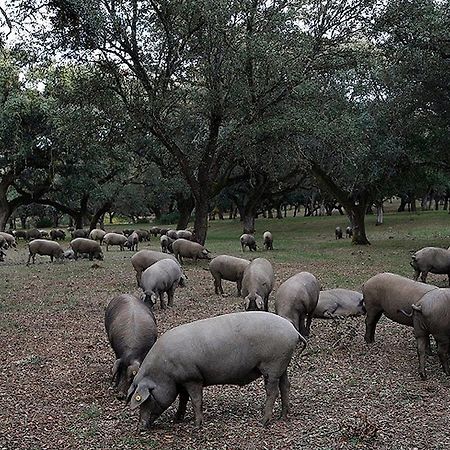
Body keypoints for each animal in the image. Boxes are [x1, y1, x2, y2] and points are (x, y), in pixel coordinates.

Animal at [128, 312, 308, 430]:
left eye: (146, 400)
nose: (139, 428)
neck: (164, 372)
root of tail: (294, 331)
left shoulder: (193, 378)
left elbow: (196, 400)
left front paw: (197, 426)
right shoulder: (182, 381)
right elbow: (183, 399)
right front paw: (176, 420)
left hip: (273, 364)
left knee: (273, 391)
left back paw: (264, 422)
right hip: (282, 365)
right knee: (285, 386)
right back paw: (283, 416)